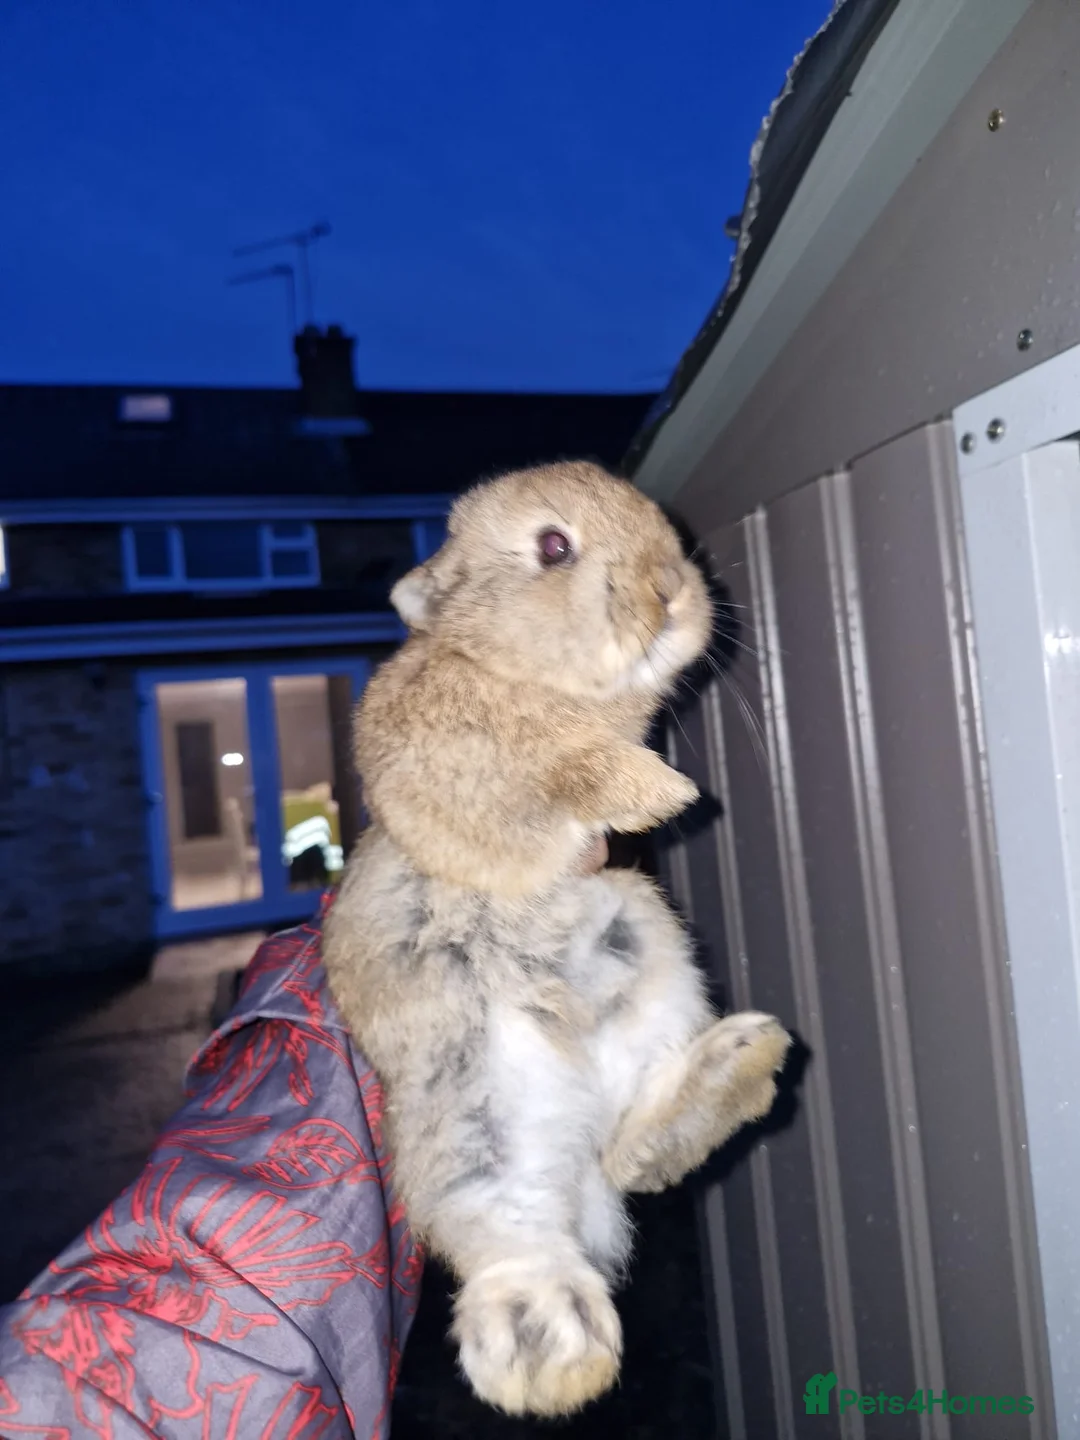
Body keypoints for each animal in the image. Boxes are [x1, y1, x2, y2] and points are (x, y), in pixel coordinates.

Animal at [322, 460, 791, 1417]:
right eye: (551, 546)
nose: (671, 587)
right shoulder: (466, 754)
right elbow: (551, 760)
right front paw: (661, 794)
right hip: (478, 1101)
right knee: (506, 1226)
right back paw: (548, 1350)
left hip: (652, 965)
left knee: (634, 1151)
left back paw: (734, 1066)